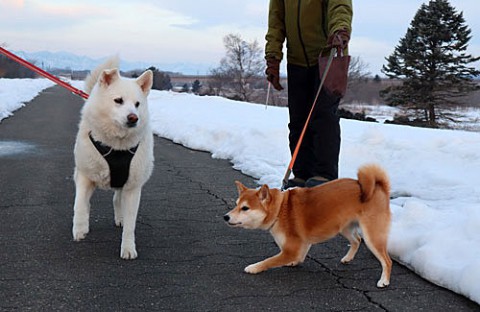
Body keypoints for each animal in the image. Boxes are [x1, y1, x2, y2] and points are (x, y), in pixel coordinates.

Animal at [72, 57, 154, 260]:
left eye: (137, 104)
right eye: (118, 100)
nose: (133, 118)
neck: (116, 145)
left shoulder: (132, 187)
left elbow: (131, 224)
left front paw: (128, 248)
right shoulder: (84, 175)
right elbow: (79, 204)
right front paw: (80, 228)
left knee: (117, 199)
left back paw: (120, 218)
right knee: (87, 202)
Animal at [223, 163, 392, 288]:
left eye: (245, 208)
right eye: (236, 204)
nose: (225, 217)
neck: (280, 210)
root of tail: (378, 187)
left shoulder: (290, 250)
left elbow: (268, 261)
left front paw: (253, 267)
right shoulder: (302, 243)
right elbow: (300, 254)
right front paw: (294, 262)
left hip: (372, 236)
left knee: (386, 260)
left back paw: (384, 280)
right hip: (343, 227)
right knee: (356, 240)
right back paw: (347, 258)